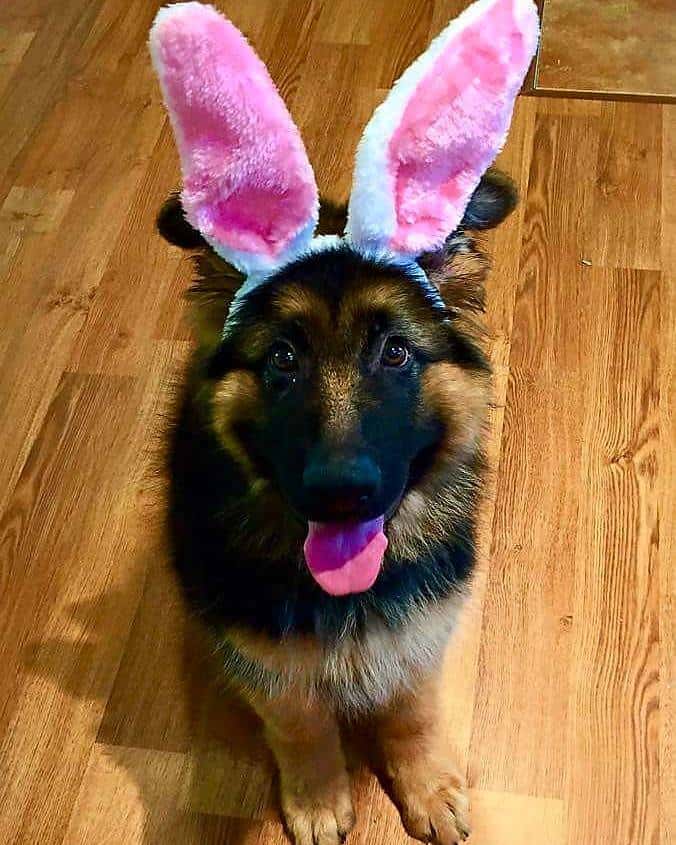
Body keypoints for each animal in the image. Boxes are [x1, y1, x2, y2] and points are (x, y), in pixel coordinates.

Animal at [149, 1, 540, 844]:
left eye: (395, 353)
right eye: (283, 359)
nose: (340, 495)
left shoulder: (421, 627)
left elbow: (413, 707)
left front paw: (426, 783)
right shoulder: (262, 649)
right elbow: (298, 720)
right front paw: (321, 795)